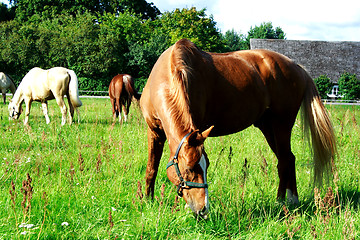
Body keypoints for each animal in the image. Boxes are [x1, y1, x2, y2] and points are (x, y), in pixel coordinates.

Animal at [139, 38, 336, 218]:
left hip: (282, 124)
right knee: (288, 158)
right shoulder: (155, 131)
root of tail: (298, 67)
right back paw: (291, 199)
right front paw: (147, 201)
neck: (167, 76)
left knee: (285, 161)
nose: (203, 210)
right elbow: (151, 168)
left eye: (205, 166)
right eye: (189, 168)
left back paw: (282, 201)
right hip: (268, 127)